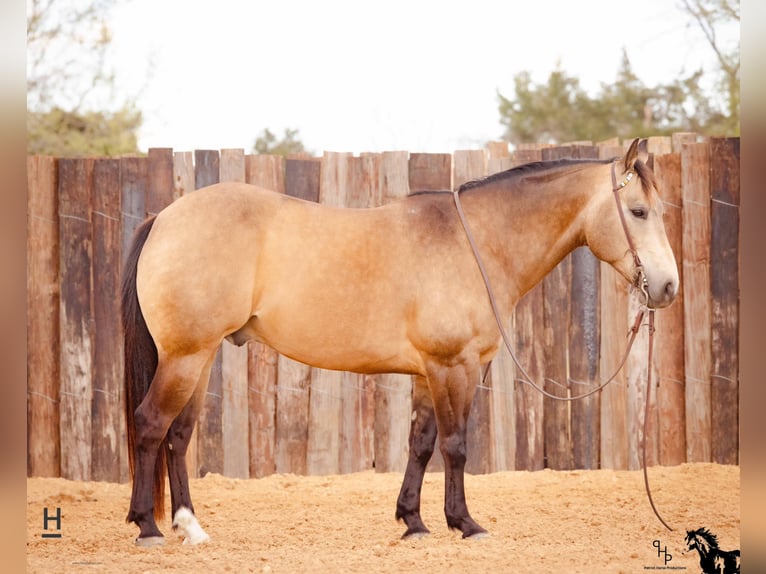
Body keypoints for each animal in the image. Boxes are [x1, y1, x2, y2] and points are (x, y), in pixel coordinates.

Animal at [120, 140, 680, 548]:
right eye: (637, 211)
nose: (667, 287)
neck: (475, 242)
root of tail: (164, 217)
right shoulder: (454, 365)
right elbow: (455, 445)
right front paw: (465, 523)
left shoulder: (428, 372)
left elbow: (422, 443)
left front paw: (413, 521)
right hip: (185, 357)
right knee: (150, 425)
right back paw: (147, 526)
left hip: (198, 357)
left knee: (178, 435)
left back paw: (190, 527)